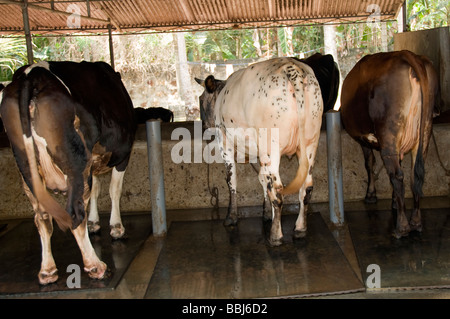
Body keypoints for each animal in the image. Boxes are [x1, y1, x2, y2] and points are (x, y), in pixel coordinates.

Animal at [0, 60, 137, 284]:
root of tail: (32, 74)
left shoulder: (93, 164)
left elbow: (95, 191)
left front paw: (94, 223)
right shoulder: (122, 156)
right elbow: (114, 191)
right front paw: (116, 227)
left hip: (26, 169)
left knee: (42, 218)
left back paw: (47, 271)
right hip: (75, 162)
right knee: (75, 212)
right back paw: (96, 266)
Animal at [195, 57, 326, 246]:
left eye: (201, 98)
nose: (204, 126)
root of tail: (291, 67)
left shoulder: (224, 142)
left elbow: (231, 180)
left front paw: (231, 217)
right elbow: (262, 179)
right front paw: (266, 214)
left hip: (271, 145)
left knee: (277, 190)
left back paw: (275, 236)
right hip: (310, 143)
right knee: (305, 188)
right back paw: (300, 229)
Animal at [342, 50, 440, 239]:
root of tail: (406, 54)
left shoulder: (363, 139)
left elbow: (369, 164)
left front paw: (371, 195)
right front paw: (394, 201)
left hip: (388, 131)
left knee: (397, 175)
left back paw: (401, 227)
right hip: (424, 131)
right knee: (414, 175)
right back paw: (416, 222)